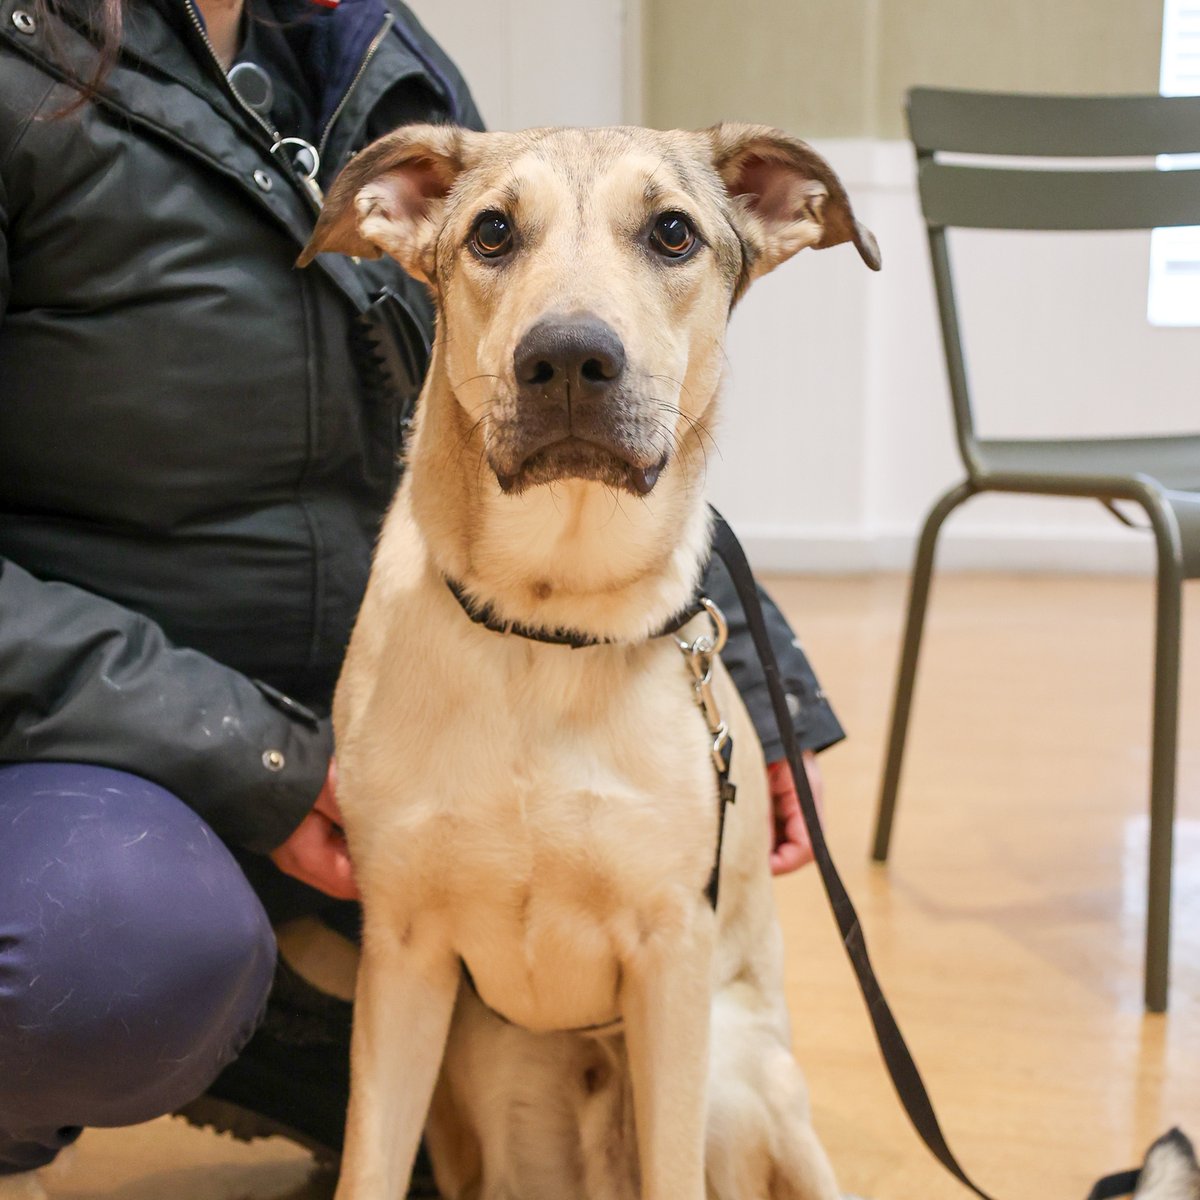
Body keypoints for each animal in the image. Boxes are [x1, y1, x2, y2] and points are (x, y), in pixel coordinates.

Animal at [300, 124, 878, 1200]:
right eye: (491, 231)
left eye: (672, 232)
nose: (568, 356)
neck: (548, 627)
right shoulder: (403, 958)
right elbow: (368, 1169)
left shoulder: (670, 958)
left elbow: (674, 1173)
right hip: (479, 1072)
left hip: (734, 1073)